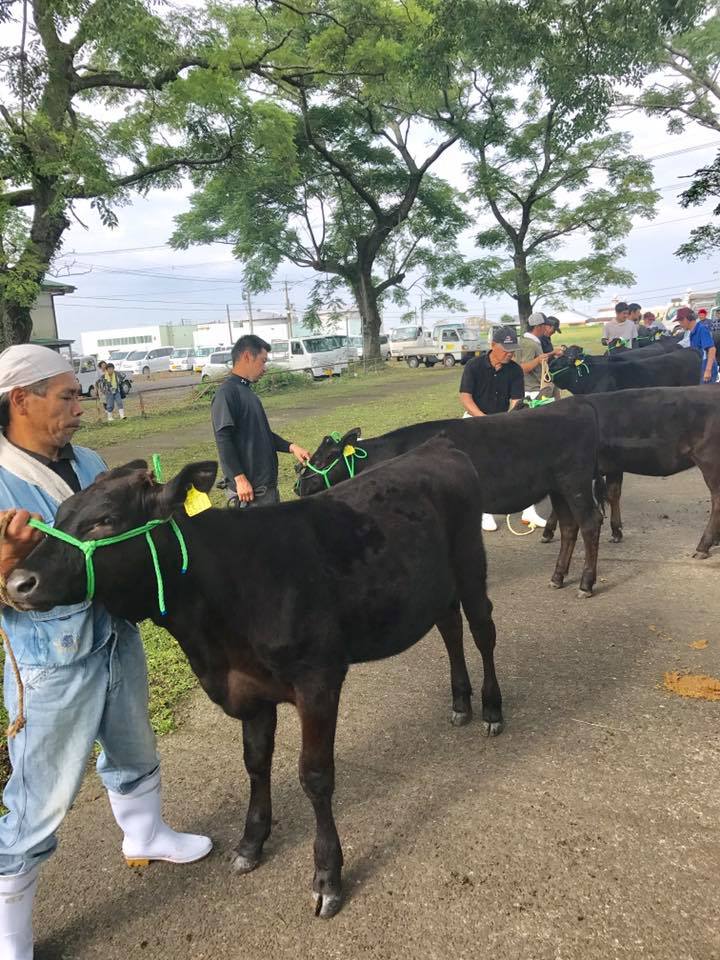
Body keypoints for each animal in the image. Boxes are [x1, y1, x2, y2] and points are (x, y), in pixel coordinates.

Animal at [5, 438, 500, 920]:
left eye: (104, 520)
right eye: (57, 517)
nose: (16, 583)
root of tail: (437, 445)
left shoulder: (318, 679)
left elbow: (315, 776)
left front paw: (327, 877)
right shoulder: (248, 690)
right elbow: (256, 764)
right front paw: (250, 843)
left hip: (471, 565)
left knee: (482, 630)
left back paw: (492, 708)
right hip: (435, 587)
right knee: (450, 628)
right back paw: (460, 702)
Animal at [296, 402, 604, 596]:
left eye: (323, 459)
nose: (298, 485)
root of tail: (578, 407)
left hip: (574, 481)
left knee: (590, 523)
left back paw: (585, 584)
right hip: (558, 488)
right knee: (569, 527)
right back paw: (558, 577)